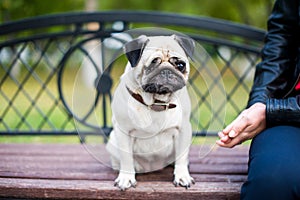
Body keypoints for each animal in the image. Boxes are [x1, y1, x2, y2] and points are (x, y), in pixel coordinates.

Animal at [106, 34, 196, 191]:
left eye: (180, 65)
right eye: (153, 64)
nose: (166, 71)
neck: (156, 102)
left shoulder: (183, 129)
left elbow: (181, 156)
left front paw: (182, 176)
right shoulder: (123, 131)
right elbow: (126, 157)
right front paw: (126, 177)